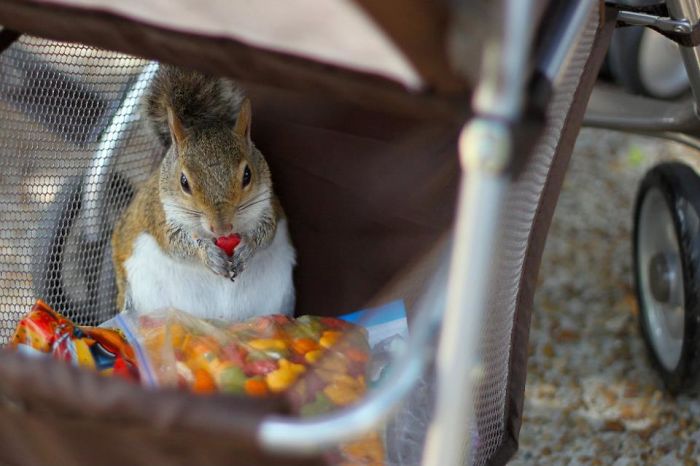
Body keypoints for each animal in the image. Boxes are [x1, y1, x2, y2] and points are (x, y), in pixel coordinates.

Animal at [111, 65, 296, 321]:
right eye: (183, 182)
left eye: (247, 175)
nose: (221, 228)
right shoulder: (159, 215)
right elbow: (176, 243)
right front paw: (207, 254)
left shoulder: (268, 205)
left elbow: (267, 232)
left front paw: (247, 247)